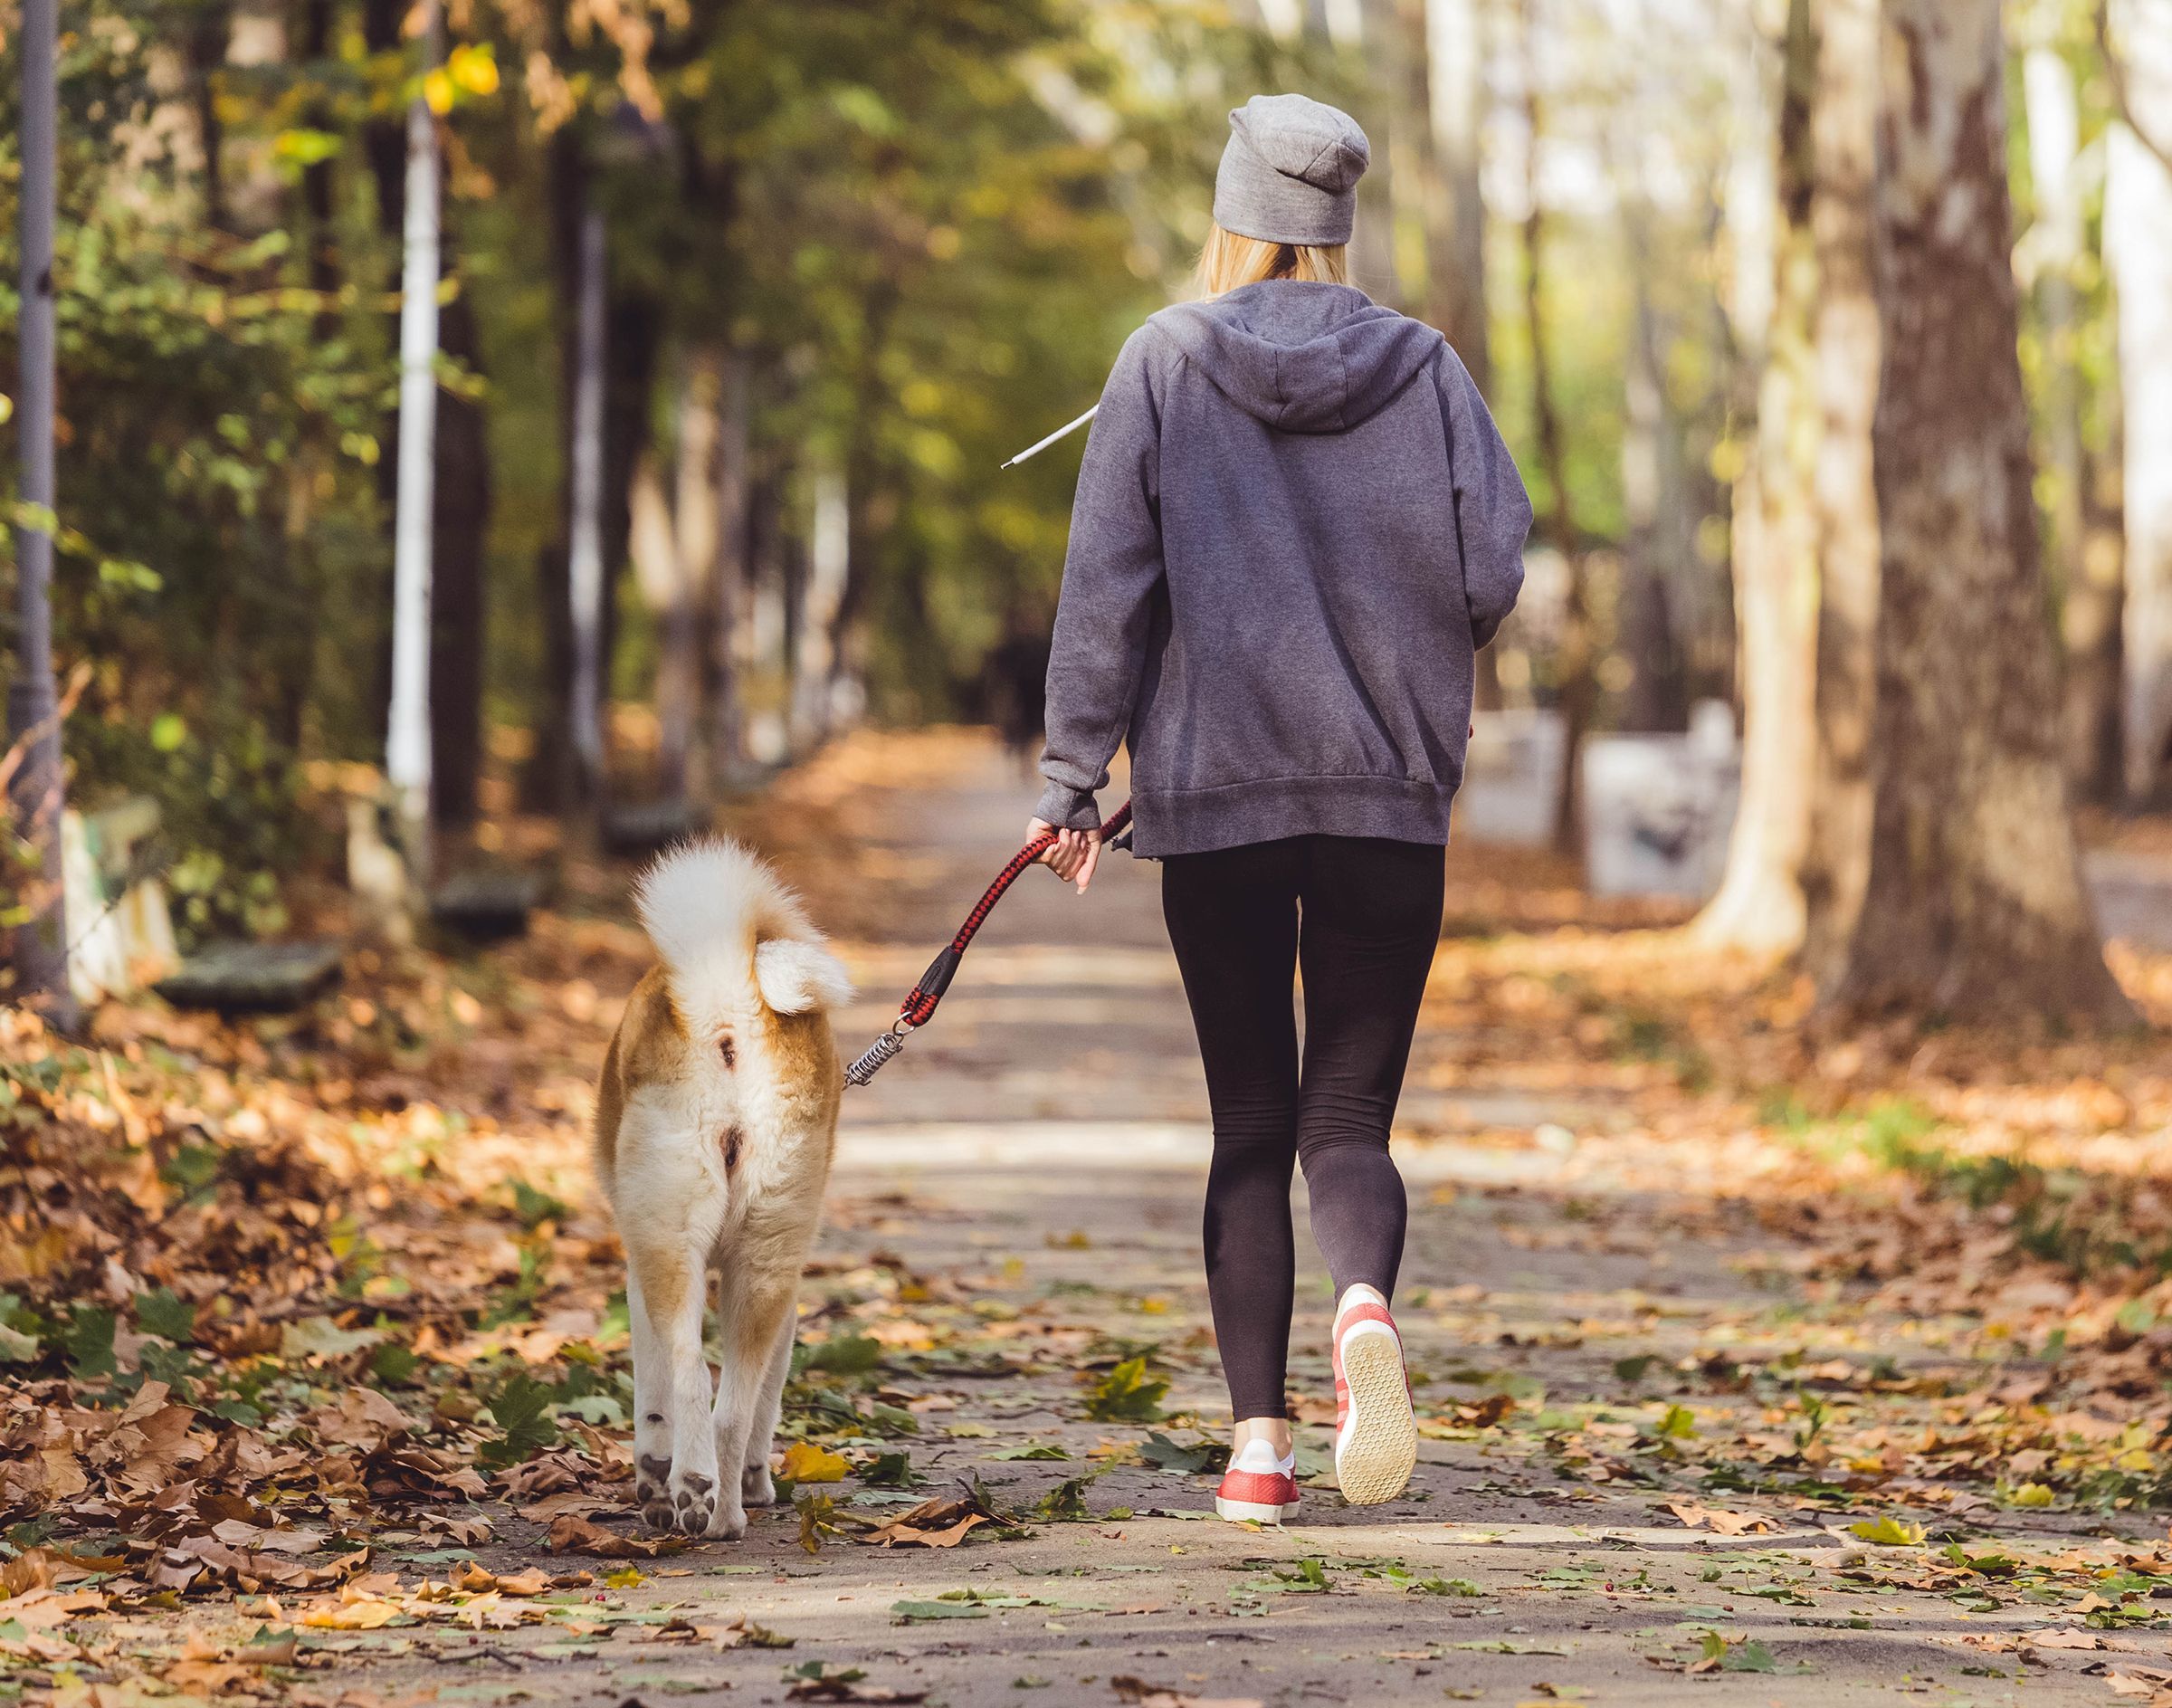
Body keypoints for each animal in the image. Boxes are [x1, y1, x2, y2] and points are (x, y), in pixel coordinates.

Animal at [590, 830, 851, 1538]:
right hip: (764, 1260)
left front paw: (655, 1477)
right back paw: (725, 1513)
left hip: (670, 1247)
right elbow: (756, 1399)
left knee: (691, 1377)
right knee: (731, 1407)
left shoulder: (639, 1271)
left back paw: (697, 1488)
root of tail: (730, 998)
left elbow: (653, 1391)